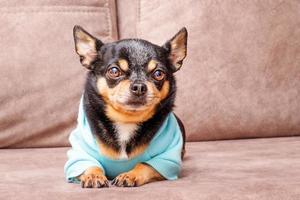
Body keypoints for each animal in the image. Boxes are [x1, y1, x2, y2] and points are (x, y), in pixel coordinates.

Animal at [64, 25, 188, 188]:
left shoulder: (167, 160)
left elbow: (144, 165)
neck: (126, 120)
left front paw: (129, 175)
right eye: (114, 71)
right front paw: (93, 175)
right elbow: (91, 164)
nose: (139, 86)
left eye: (158, 74)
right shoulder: (79, 156)